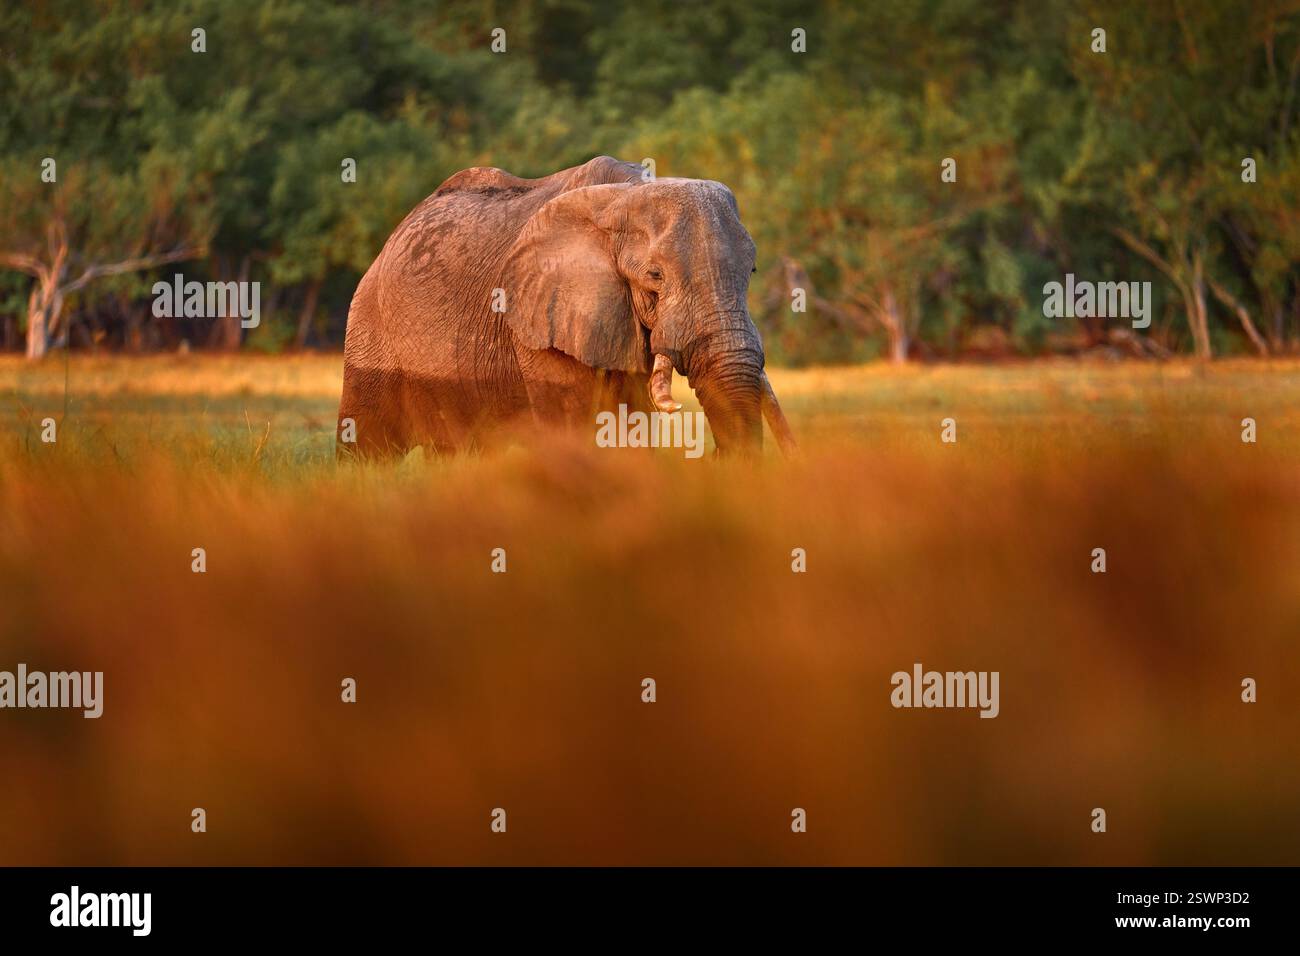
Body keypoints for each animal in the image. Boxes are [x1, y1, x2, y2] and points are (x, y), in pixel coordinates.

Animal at [337, 155, 796, 458]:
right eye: (655, 277)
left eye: (752, 270)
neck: (627, 193)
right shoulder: (537, 319)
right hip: (369, 325)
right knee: (366, 446)